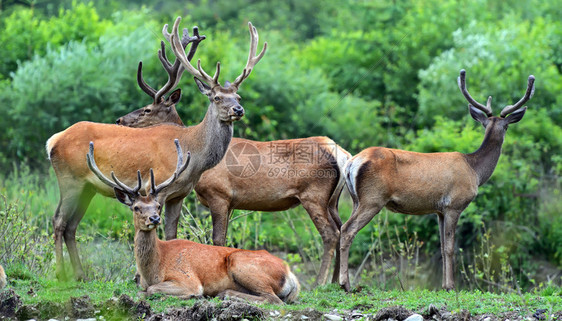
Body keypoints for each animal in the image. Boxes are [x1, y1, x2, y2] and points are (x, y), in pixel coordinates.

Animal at [46, 16, 264, 280]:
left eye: (238, 97)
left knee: (72, 225)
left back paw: (80, 274)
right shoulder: (158, 184)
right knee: (59, 220)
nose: (238, 110)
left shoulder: (179, 194)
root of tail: (53, 140)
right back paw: (60, 273)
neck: (194, 153)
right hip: (69, 178)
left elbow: (171, 233)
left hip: (88, 187)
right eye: (217, 98)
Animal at [87, 140, 298, 302]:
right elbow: (143, 289)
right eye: (137, 207)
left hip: (241, 264)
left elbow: (151, 290)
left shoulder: (187, 278)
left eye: (158, 206)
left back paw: (225, 294)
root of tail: (290, 275)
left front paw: (189, 296)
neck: (154, 268)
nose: (154, 218)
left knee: (273, 299)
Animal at [336, 69, 532, 290]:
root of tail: (351, 163)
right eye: (506, 127)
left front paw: (444, 285)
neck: (474, 170)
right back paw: (345, 284)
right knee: (347, 229)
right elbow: (450, 248)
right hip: (372, 198)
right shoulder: (454, 204)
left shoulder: (439, 210)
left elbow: (441, 246)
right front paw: (450, 286)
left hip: (356, 199)